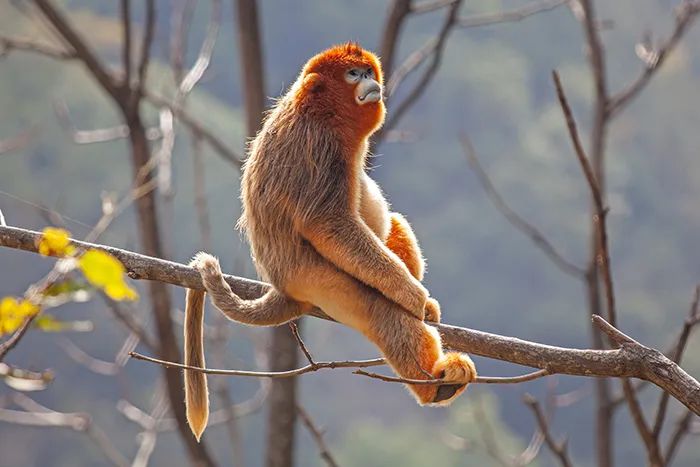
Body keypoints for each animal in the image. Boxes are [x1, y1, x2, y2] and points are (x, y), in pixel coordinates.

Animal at [183, 42, 476, 440]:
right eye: (353, 74)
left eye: (367, 72)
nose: (370, 82)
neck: (316, 110)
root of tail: (281, 286)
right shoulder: (319, 145)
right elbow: (328, 223)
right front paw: (414, 296)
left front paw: (424, 302)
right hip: (314, 278)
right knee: (380, 309)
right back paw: (436, 385)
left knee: (393, 222)